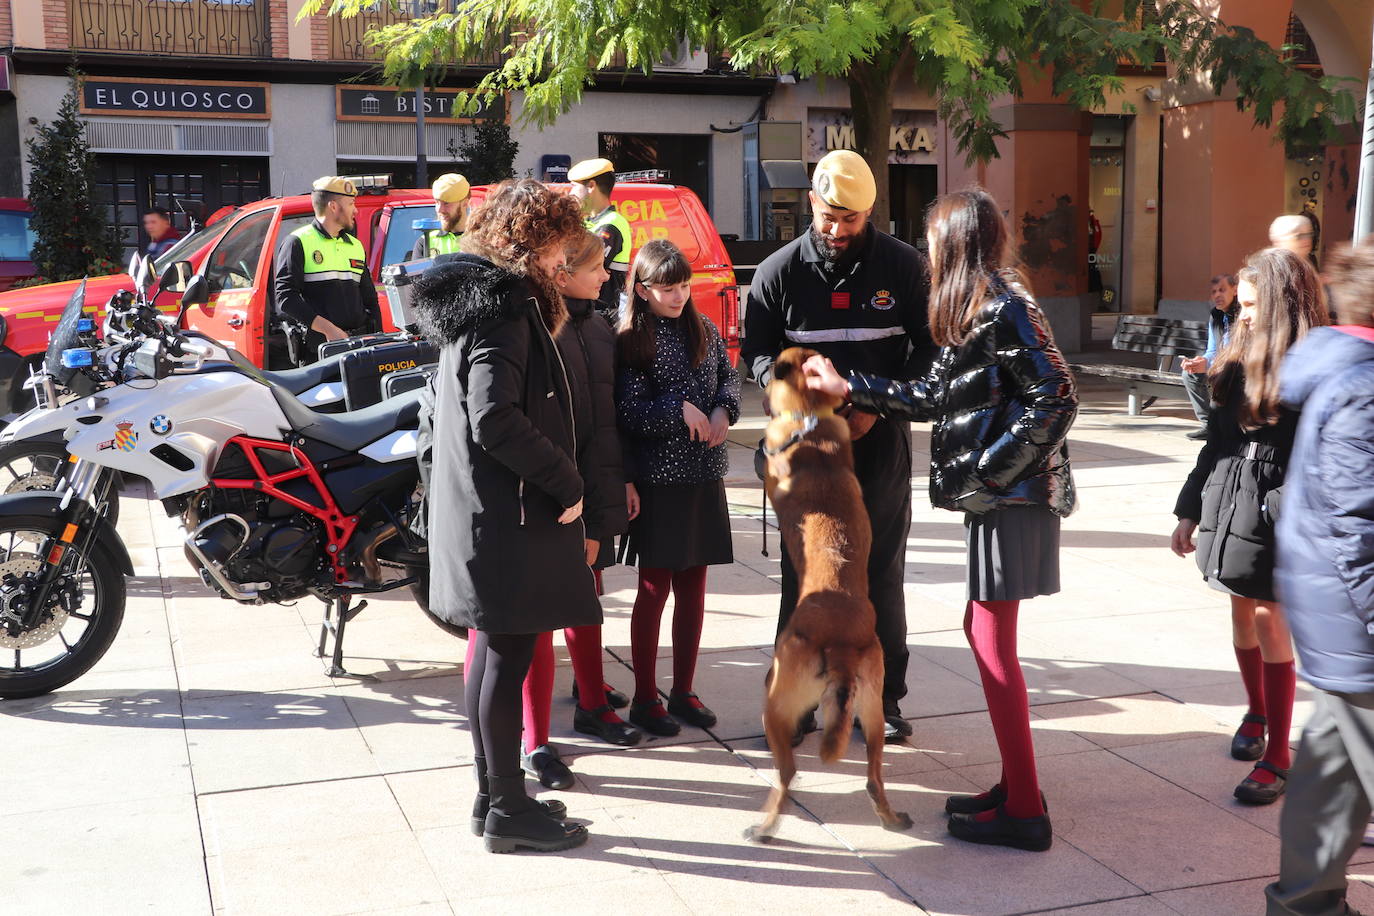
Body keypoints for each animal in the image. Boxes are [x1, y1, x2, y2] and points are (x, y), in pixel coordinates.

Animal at [747, 347, 906, 840]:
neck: (809, 418)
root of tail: (841, 646)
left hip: (776, 702)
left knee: (788, 773)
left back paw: (765, 826)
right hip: (871, 712)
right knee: (874, 774)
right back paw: (890, 816)